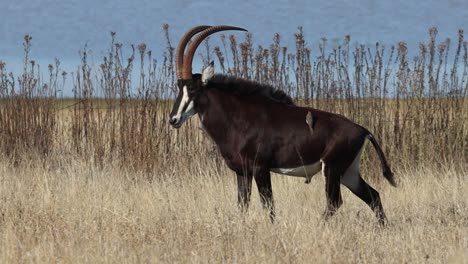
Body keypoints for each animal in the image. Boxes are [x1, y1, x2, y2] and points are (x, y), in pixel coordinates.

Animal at [168, 25, 394, 225]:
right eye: (179, 87)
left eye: (193, 89)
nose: (173, 119)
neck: (237, 118)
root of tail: (363, 130)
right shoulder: (242, 172)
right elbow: (242, 205)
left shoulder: (260, 168)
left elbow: (268, 205)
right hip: (348, 173)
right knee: (373, 196)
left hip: (332, 169)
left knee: (334, 202)